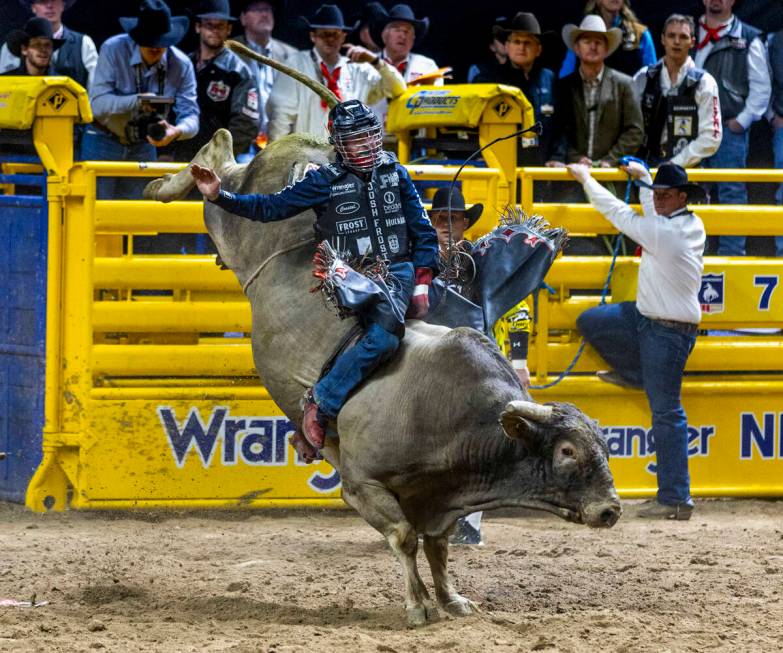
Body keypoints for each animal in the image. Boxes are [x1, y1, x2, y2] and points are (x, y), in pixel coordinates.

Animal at [144, 42, 620, 628]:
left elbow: (437, 545)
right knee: (222, 170)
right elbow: (404, 538)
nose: (611, 509)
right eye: (568, 451)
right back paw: (169, 180)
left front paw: (452, 599)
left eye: (603, 443)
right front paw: (417, 606)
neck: (454, 416)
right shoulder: (362, 484)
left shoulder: (440, 501)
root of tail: (320, 149)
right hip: (239, 219)